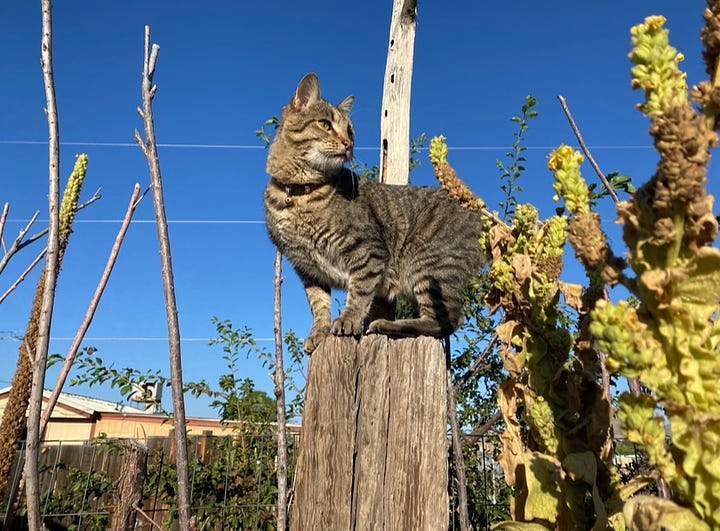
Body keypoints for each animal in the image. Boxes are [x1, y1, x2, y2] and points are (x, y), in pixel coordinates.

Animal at [264, 71, 484, 354]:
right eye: (325, 124)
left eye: (350, 131)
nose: (348, 143)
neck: (299, 193)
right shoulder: (308, 269)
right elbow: (319, 306)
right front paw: (318, 333)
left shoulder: (368, 251)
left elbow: (359, 291)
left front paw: (347, 319)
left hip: (429, 264)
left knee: (446, 321)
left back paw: (386, 325)